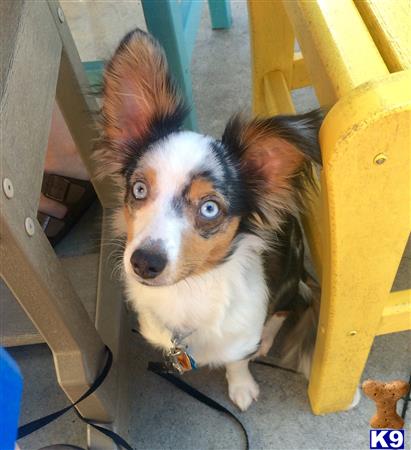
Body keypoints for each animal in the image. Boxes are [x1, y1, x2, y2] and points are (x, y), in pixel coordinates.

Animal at [98, 29, 324, 412]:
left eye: (209, 209)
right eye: (139, 189)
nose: (144, 263)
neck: (188, 290)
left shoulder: (242, 331)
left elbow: (237, 360)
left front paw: (242, 387)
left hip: (289, 279)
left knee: (285, 310)